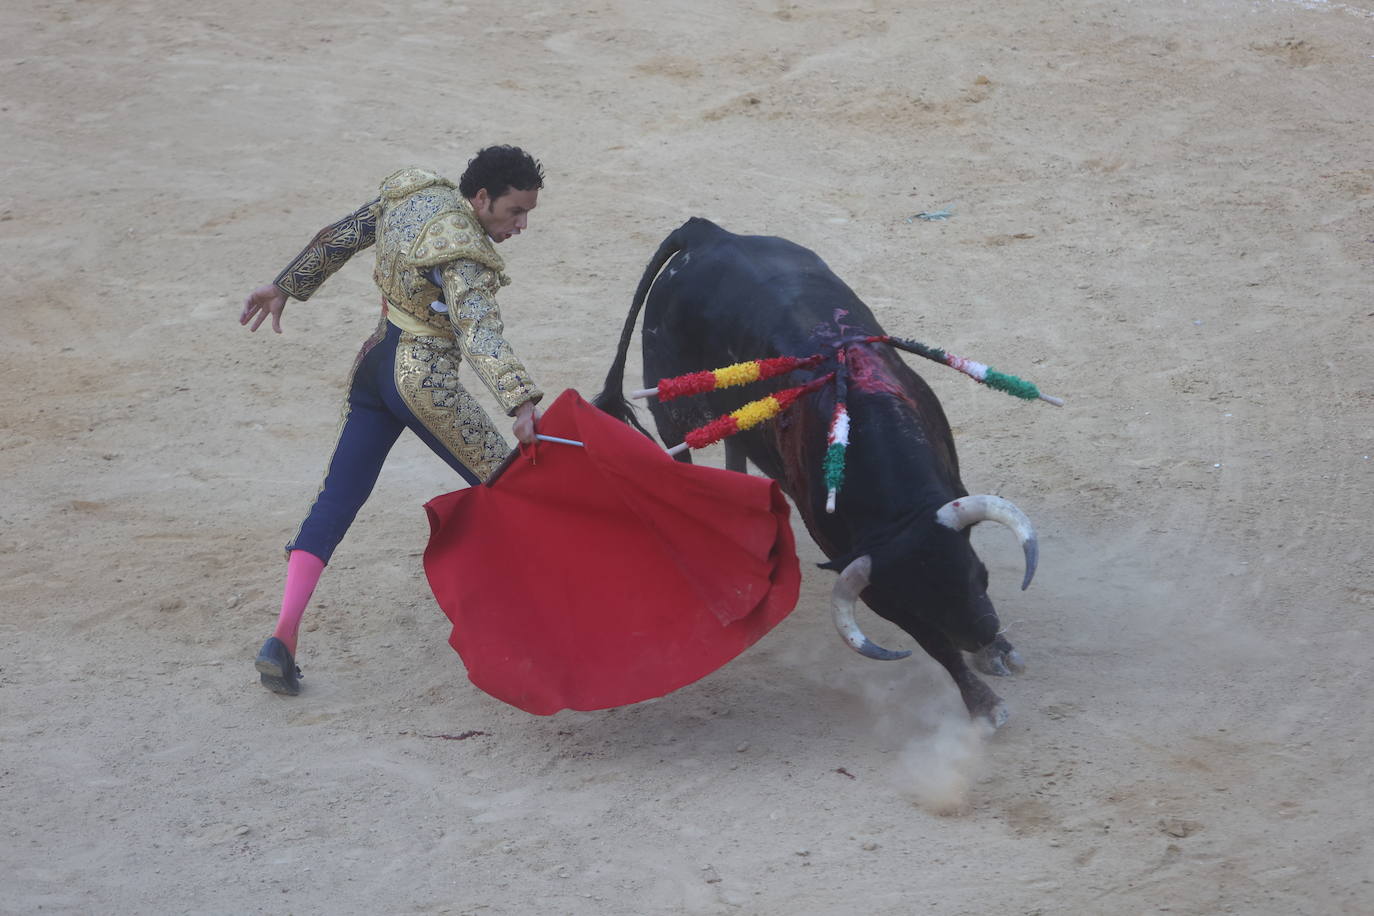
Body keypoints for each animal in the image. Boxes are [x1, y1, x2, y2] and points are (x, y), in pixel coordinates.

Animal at [596, 218, 1033, 725]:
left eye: (978, 574)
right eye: (917, 604)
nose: (981, 635)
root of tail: (705, 232)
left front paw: (999, 653)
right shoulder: (864, 575)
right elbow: (933, 645)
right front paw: (984, 704)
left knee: (734, 449)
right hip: (674, 409)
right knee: (679, 461)